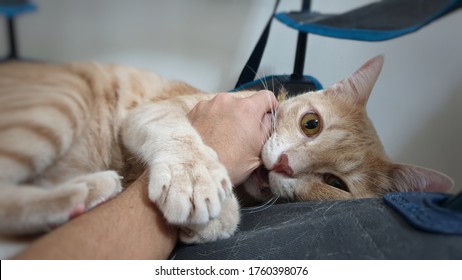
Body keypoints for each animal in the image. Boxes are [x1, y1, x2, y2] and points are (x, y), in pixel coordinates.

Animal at [0, 55, 452, 243]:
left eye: (334, 183)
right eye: (311, 124)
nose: (285, 164)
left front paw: (215, 219)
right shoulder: (153, 112)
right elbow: (180, 133)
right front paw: (195, 179)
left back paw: (84, 193)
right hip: (60, 104)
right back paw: (85, 190)